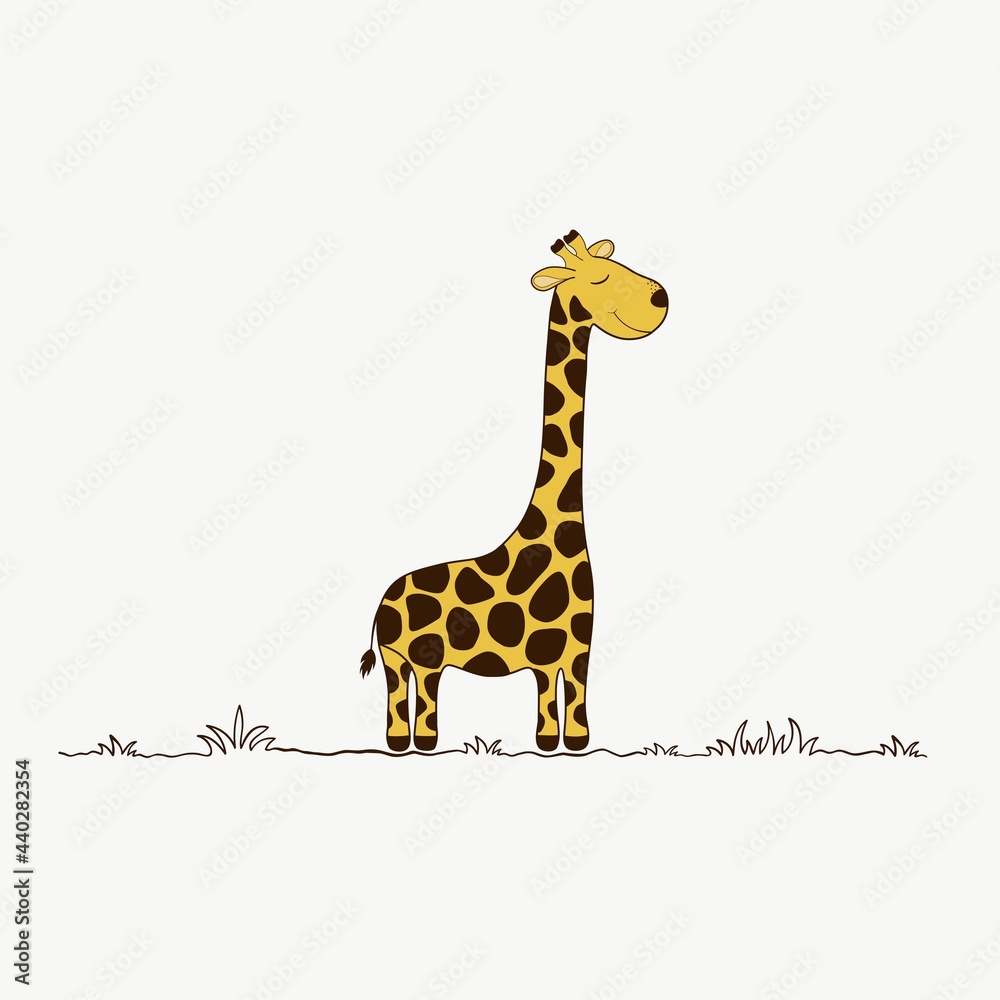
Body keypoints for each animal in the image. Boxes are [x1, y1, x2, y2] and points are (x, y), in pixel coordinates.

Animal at [359, 231, 668, 751]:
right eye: (600, 278)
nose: (659, 299)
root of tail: (381, 600)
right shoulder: (555, 651)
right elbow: (559, 708)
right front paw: (561, 746)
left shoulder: (572, 650)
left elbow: (565, 707)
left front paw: (566, 745)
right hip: (412, 657)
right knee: (410, 701)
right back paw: (413, 745)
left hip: (407, 659)